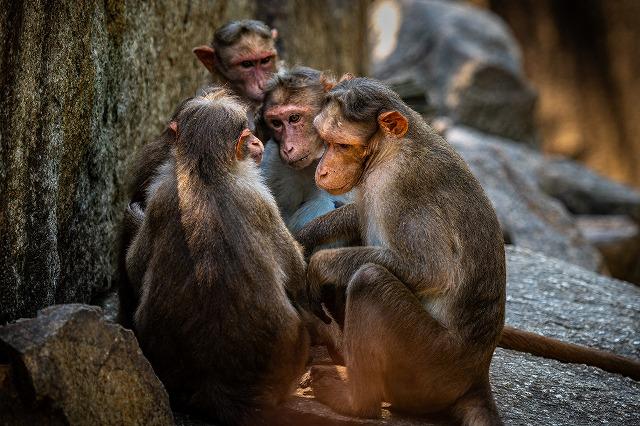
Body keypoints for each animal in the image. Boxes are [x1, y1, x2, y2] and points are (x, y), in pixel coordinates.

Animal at [125, 85, 310, 422]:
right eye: (247, 134)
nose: (257, 141)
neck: (204, 170)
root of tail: (214, 387)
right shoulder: (260, 197)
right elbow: (295, 272)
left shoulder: (161, 195)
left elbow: (135, 269)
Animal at [294, 76, 640, 422]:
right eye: (325, 141)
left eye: (341, 145)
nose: (321, 170)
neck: (391, 149)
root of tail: (475, 376)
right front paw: (308, 234)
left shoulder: (398, 185)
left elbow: (429, 271)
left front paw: (319, 265)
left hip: (426, 364)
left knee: (370, 280)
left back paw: (357, 399)